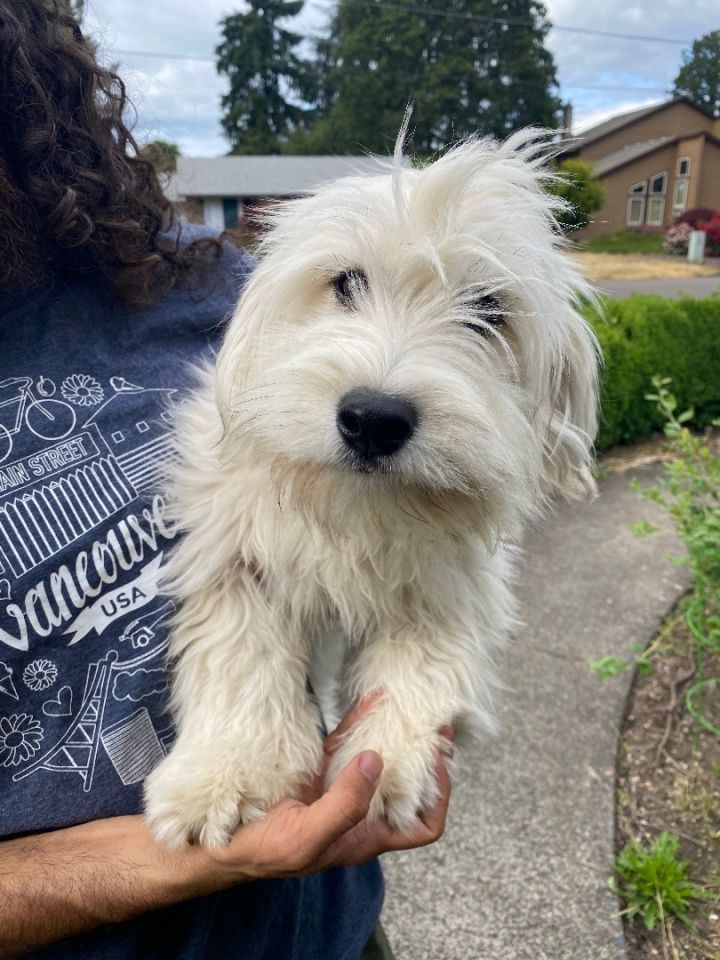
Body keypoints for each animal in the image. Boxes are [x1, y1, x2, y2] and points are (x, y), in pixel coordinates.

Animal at [143, 133, 600, 848]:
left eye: (489, 311)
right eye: (345, 282)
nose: (374, 419)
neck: (359, 511)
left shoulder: (448, 584)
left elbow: (422, 665)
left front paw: (389, 762)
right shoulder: (234, 557)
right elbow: (241, 658)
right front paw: (224, 773)